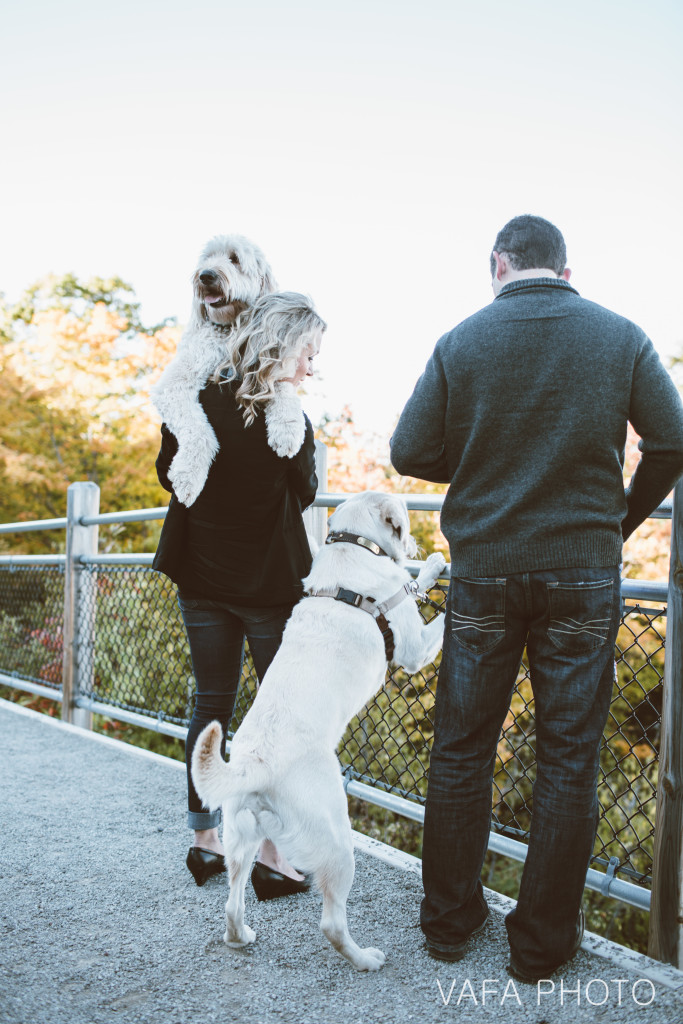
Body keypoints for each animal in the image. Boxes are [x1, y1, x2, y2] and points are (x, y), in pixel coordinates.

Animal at [150, 232, 276, 503]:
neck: (230, 329)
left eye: (235, 259)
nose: (205, 275)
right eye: (207, 258)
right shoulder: (173, 386)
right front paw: (188, 477)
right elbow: (199, 431)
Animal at [191, 491, 448, 970]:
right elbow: (437, 615)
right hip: (337, 841)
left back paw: (241, 936)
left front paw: (432, 564)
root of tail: (256, 764)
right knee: (331, 923)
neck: (353, 546)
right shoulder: (415, 649)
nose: (418, 545)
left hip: (241, 837)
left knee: (233, 904)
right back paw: (364, 959)